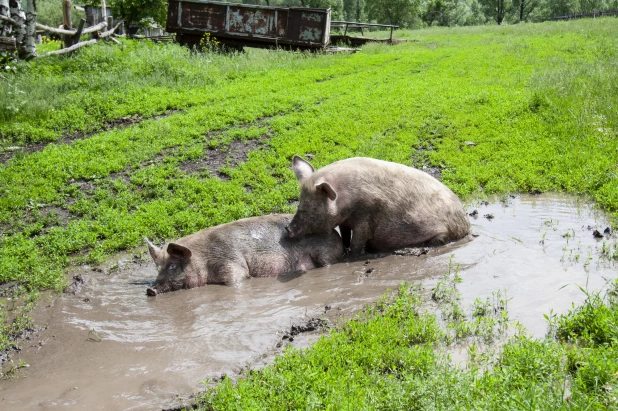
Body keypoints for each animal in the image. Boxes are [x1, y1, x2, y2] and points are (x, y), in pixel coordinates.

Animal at [144, 216, 342, 296]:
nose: (150, 290)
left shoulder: (232, 263)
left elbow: (236, 280)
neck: (203, 258)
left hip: (324, 254)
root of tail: (336, 235)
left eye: (172, 265)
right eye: (158, 267)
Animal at [286, 157, 470, 256]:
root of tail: (466, 225)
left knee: (439, 241)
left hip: (443, 232)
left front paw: (351, 256)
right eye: (300, 202)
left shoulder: (366, 217)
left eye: (313, 209)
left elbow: (357, 242)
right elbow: (345, 236)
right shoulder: (345, 221)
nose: (288, 229)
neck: (346, 200)